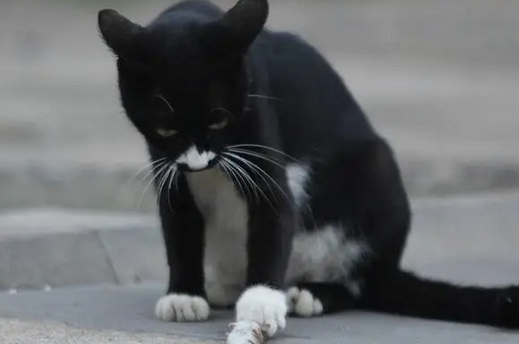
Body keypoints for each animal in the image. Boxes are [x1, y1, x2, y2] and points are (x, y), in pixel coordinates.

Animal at [97, 0, 519, 338]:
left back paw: (308, 294)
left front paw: (261, 302)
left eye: (219, 119)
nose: (197, 163)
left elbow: (273, 214)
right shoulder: (167, 167)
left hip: (376, 173)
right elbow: (179, 227)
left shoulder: (260, 125)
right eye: (165, 128)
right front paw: (184, 295)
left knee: (360, 285)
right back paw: (224, 287)